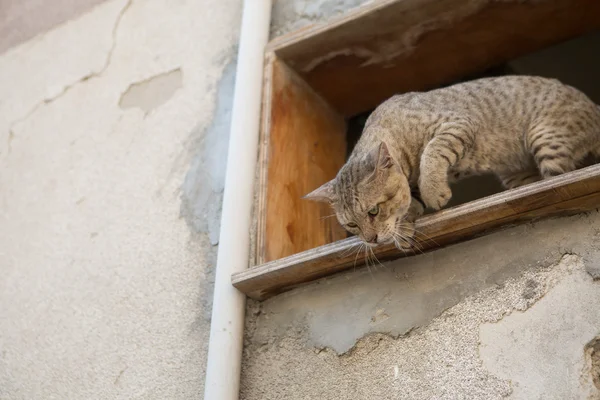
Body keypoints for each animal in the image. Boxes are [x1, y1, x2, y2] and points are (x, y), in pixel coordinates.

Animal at [304, 76, 600, 248]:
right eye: (351, 225)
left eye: (373, 211)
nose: (371, 241)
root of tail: (594, 106)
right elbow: (410, 200)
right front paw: (407, 221)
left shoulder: (457, 124)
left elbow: (431, 153)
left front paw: (432, 191)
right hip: (517, 171)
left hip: (545, 136)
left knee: (557, 177)